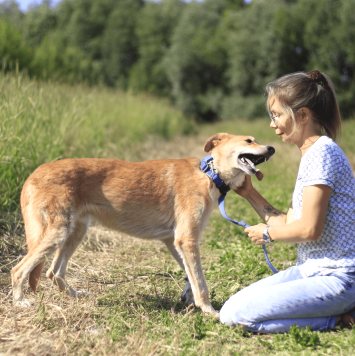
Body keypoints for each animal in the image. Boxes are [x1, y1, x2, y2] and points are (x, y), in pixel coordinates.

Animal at [11, 133, 276, 314]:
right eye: (249, 140)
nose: (272, 148)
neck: (208, 173)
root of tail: (32, 174)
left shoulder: (173, 240)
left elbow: (190, 275)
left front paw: (188, 297)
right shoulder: (187, 239)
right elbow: (201, 282)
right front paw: (210, 311)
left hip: (75, 232)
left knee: (53, 272)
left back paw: (76, 296)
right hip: (58, 232)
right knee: (19, 270)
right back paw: (20, 302)